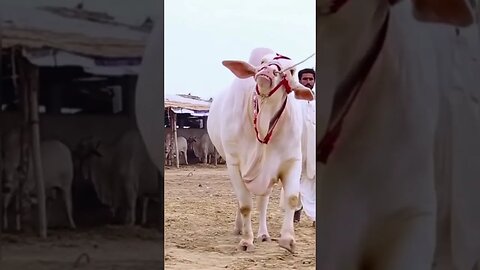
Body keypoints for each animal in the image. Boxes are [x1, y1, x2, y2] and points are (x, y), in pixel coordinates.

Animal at [207, 47, 316, 252]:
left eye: (291, 70)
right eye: (263, 62)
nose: (268, 71)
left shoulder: (292, 161)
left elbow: (291, 198)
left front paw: (288, 239)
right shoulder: (234, 164)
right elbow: (245, 205)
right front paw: (246, 241)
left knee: (263, 201)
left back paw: (264, 234)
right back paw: (239, 228)